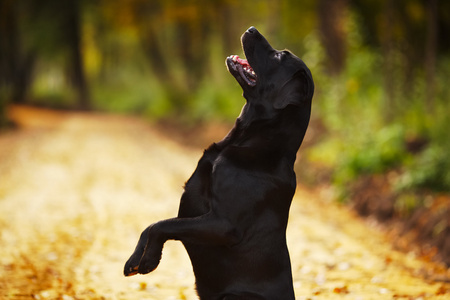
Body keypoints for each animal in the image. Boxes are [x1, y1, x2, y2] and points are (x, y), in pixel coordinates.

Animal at [123, 26, 312, 300]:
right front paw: (135, 259)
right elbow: (152, 225)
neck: (253, 142)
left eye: (279, 56)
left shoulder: (223, 224)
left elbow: (162, 225)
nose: (252, 28)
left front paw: (149, 260)